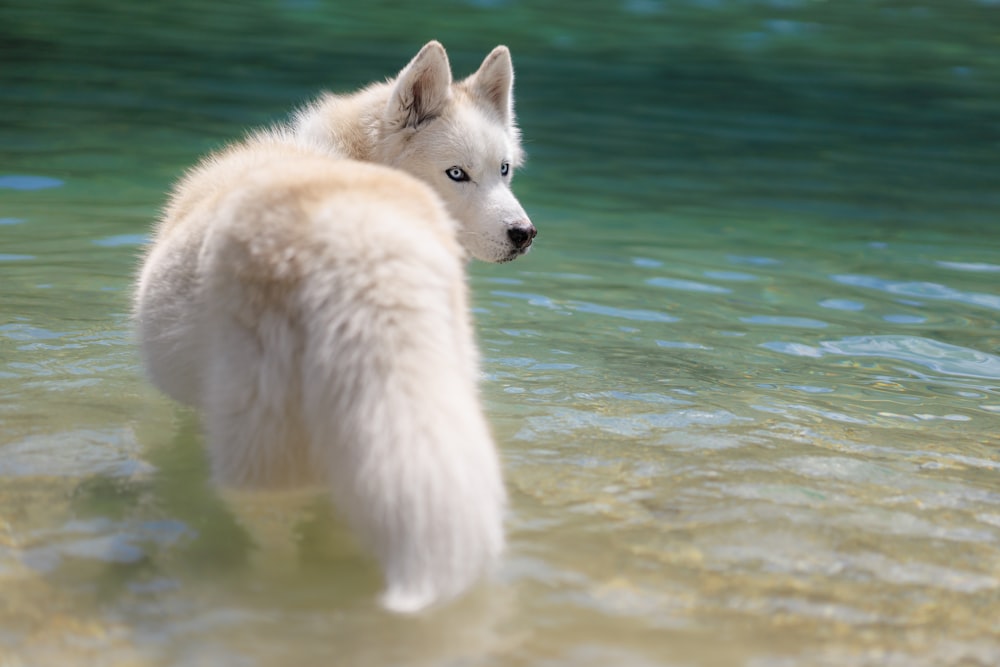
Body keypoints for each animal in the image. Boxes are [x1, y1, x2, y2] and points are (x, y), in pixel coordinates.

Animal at [139, 41, 540, 612]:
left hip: (262, 455)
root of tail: (355, 237)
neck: (345, 158)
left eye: (503, 169)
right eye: (457, 174)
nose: (524, 234)